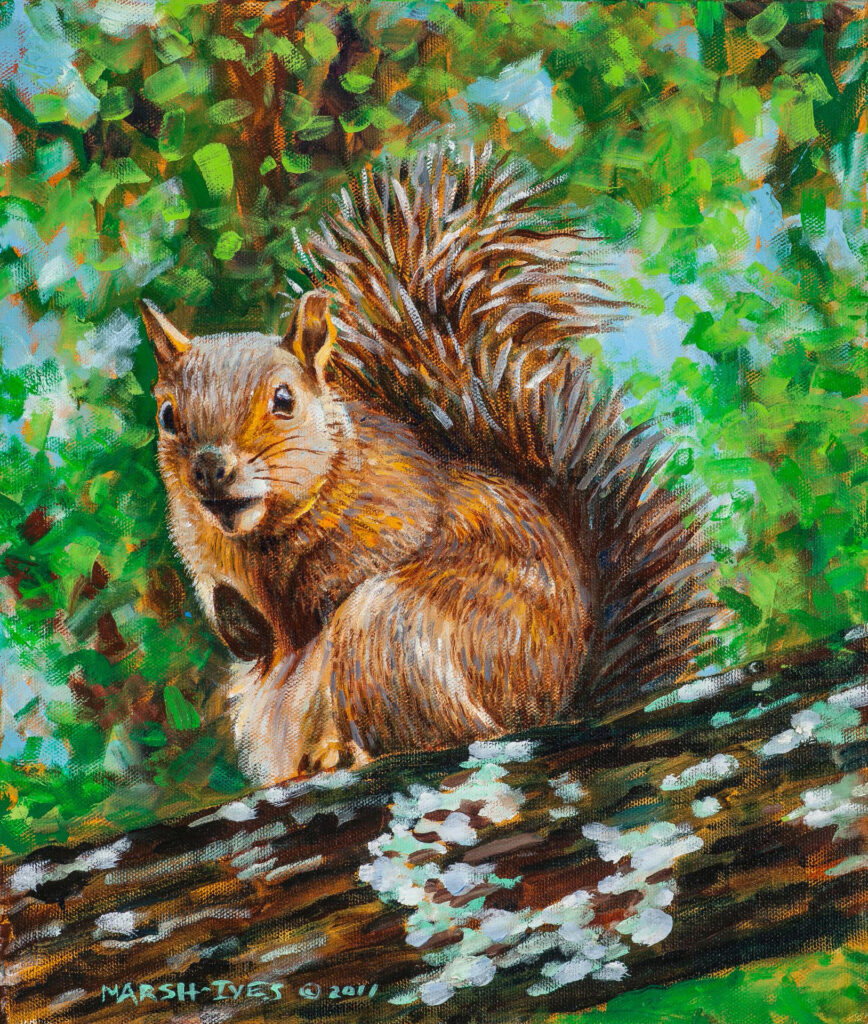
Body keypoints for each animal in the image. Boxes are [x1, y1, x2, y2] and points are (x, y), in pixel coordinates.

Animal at [141, 144, 714, 785]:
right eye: (167, 414)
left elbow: (349, 575)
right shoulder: (202, 548)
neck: (264, 533)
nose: (211, 469)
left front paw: (305, 609)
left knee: (448, 731)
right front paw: (240, 625)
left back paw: (347, 752)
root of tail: (558, 704)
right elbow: (234, 610)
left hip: (391, 633)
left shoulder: (401, 502)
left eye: (284, 400)